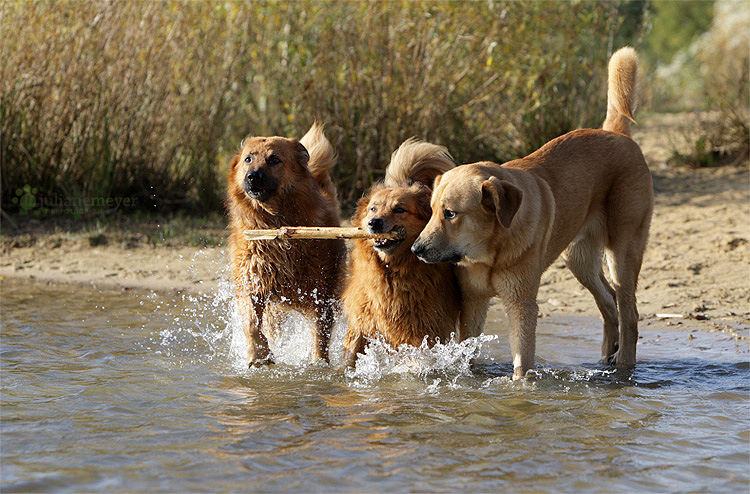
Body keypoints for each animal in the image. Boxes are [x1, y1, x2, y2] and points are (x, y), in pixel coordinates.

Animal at [226, 121, 346, 364]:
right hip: (275, 309)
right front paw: (259, 354)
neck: (274, 223)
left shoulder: (321, 292)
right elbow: (251, 323)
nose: (252, 176)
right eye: (248, 159)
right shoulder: (252, 279)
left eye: (274, 159)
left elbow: (320, 333)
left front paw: (319, 363)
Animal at [342, 139, 462, 366]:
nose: (374, 222)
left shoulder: (421, 331)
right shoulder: (363, 321)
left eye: (399, 209)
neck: (392, 273)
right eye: (373, 209)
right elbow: (350, 354)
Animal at [414, 48, 656, 380]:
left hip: (622, 252)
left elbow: (522, 362)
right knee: (609, 304)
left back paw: (623, 367)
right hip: (579, 259)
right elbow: (469, 353)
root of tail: (615, 133)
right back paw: (606, 358)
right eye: (431, 211)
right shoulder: (474, 302)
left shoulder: (522, 304)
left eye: (450, 214)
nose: (416, 249)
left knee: (629, 313)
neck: (492, 250)